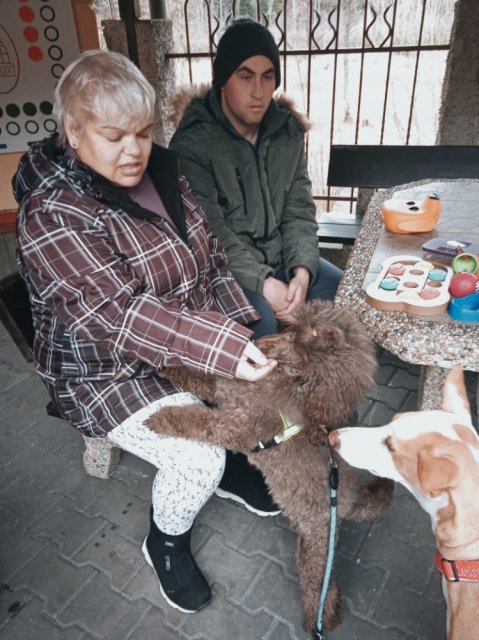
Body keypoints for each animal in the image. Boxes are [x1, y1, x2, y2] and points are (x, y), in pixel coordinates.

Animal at [147, 300, 394, 632]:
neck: (285, 382)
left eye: (307, 346)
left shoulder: (231, 427)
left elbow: (193, 420)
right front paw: (168, 366)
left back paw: (320, 620)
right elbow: (199, 377)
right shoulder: (223, 392)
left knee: (320, 585)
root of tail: (349, 502)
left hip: (316, 543)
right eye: (294, 328)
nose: (262, 343)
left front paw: (161, 418)